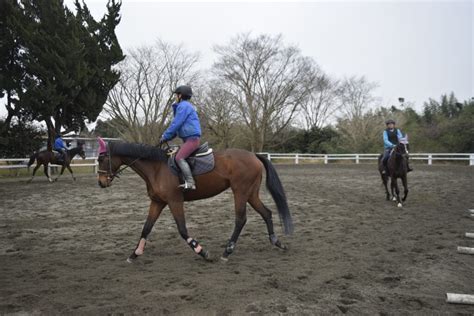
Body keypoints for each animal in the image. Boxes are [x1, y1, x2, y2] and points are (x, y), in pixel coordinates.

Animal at [96, 143, 292, 262]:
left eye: (102, 159)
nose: (101, 182)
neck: (156, 168)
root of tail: (254, 155)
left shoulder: (175, 201)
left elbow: (182, 230)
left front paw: (202, 251)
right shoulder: (157, 202)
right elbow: (146, 228)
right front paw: (134, 254)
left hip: (241, 192)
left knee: (241, 219)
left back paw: (227, 251)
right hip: (250, 193)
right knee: (266, 213)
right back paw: (277, 242)